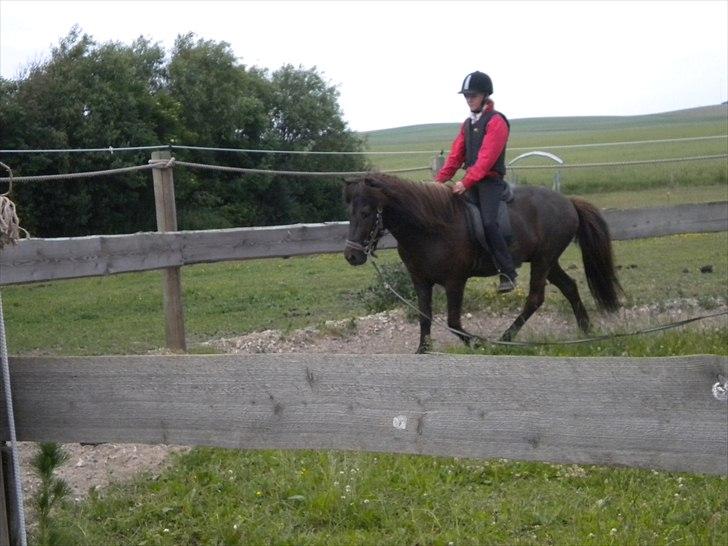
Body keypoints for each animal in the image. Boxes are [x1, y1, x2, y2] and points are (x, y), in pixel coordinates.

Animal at [344, 173, 624, 352]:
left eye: (366, 213)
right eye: (350, 213)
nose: (351, 256)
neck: (431, 227)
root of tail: (568, 202)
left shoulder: (455, 281)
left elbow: (453, 322)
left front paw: (479, 343)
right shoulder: (420, 281)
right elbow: (425, 317)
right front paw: (422, 350)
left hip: (543, 260)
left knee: (535, 299)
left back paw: (506, 338)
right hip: (547, 261)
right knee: (569, 286)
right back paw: (585, 331)